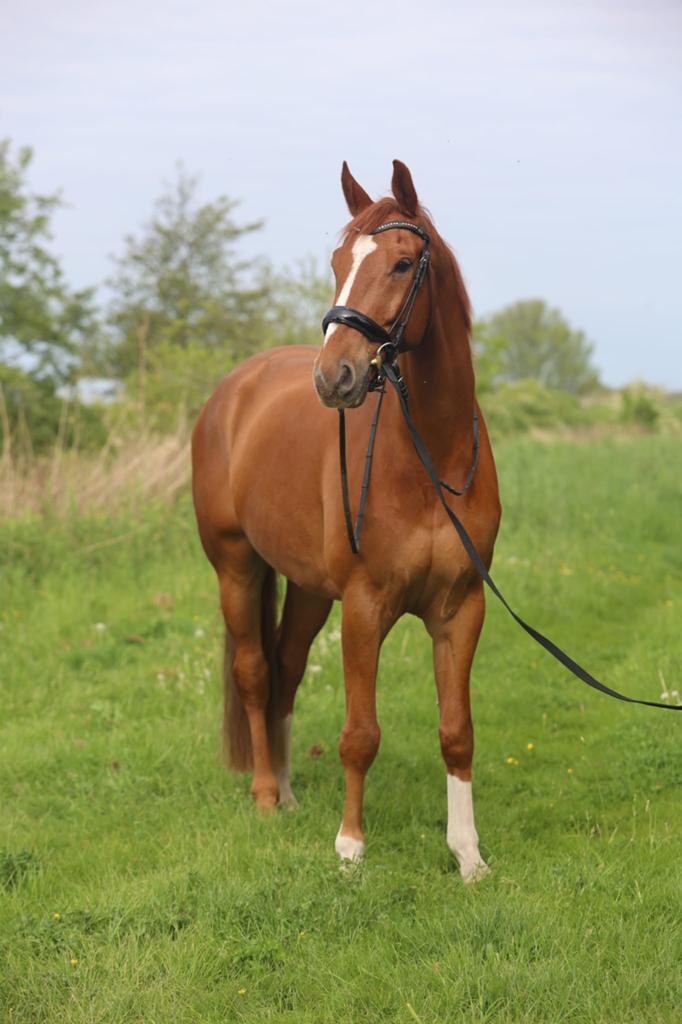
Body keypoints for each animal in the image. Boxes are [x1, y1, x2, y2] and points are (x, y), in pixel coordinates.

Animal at [191, 160, 501, 882]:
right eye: (338, 262)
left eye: (403, 262)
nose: (335, 376)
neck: (431, 458)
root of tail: (232, 392)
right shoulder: (365, 605)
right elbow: (360, 735)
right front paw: (351, 849)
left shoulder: (462, 608)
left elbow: (457, 732)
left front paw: (468, 855)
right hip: (236, 568)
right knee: (255, 671)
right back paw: (266, 795)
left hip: (307, 589)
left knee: (285, 666)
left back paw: (288, 790)